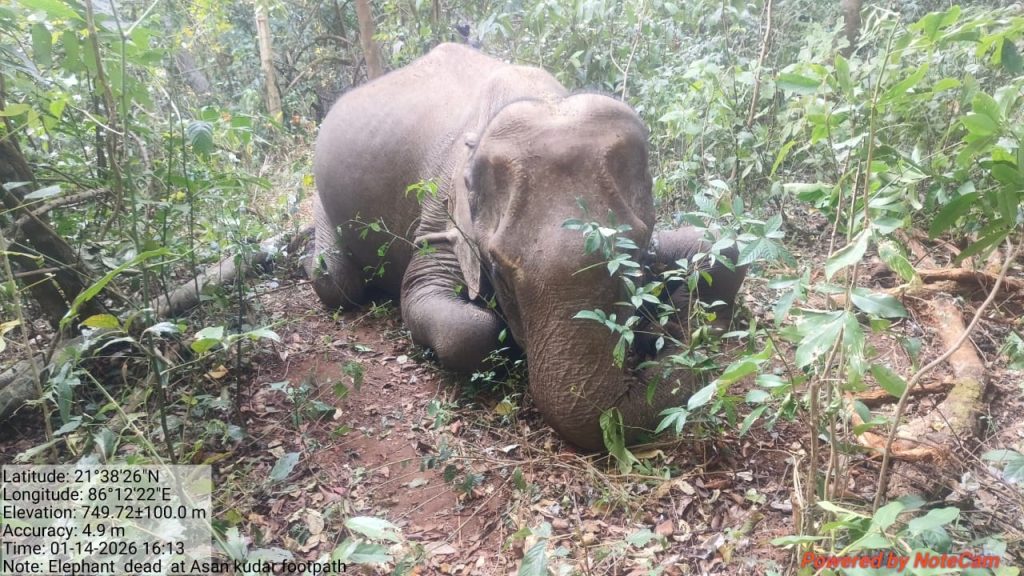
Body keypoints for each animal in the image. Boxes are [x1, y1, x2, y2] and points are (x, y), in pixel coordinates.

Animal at [308, 43, 746, 450]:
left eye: (635, 255)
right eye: (499, 270)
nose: (665, 339)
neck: (541, 99)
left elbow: (722, 246)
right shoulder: (442, 212)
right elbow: (441, 306)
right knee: (335, 281)